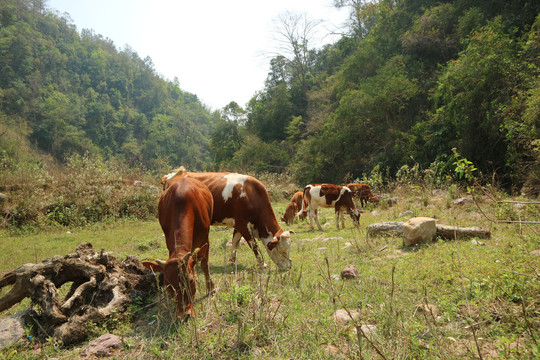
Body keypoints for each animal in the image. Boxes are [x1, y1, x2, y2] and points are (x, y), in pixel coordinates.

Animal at [142, 176, 214, 320]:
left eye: (190, 281)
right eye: (168, 286)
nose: (184, 315)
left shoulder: (205, 239)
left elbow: (204, 264)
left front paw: (211, 288)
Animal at [162, 169, 294, 270]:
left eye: (289, 249)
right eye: (282, 251)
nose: (289, 266)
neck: (251, 194)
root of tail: (171, 177)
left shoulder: (238, 225)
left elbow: (235, 241)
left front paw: (232, 260)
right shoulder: (243, 224)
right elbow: (254, 245)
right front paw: (262, 264)